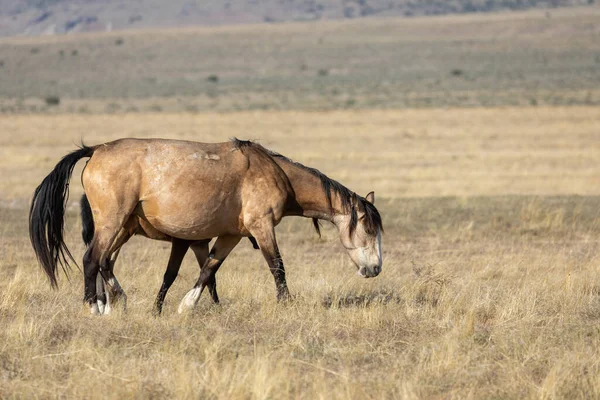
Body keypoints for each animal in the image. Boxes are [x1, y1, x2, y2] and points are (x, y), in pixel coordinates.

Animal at [28, 138, 382, 316]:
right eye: (368, 229)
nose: (376, 268)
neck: (275, 171)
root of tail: (95, 150)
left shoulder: (230, 235)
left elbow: (209, 269)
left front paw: (187, 306)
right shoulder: (262, 228)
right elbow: (277, 266)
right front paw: (286, 305)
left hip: (120, 229)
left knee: (104, 261)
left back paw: (116, 300)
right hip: (112, 223)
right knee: (93, 259)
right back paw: (96, 306)